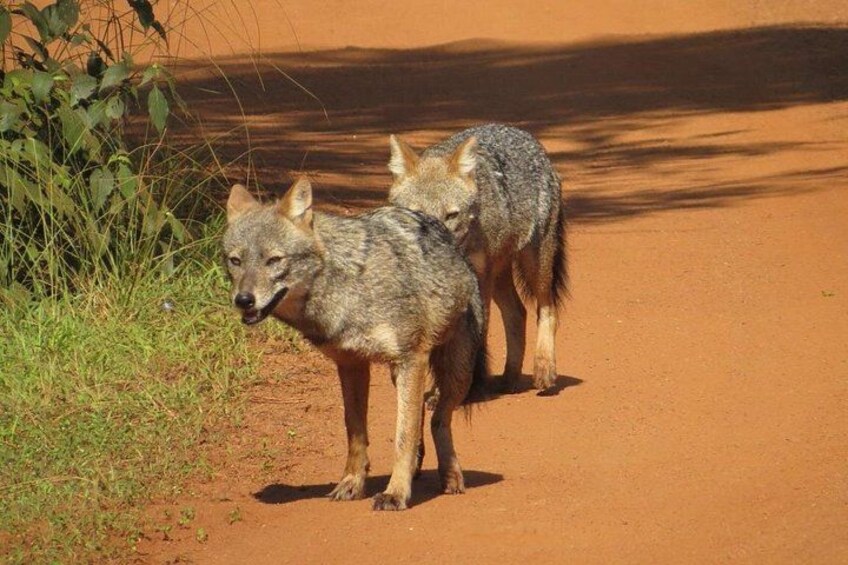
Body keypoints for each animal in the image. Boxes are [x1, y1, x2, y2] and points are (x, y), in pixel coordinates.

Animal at [223, 177, 487, 511]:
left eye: (274, 260)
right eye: (235, 261)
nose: (243, 300)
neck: (349, 284)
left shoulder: (410, 359)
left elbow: (403, 435)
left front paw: (395, 493)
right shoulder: (351, 364)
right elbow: (355, 431)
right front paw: (351, 483)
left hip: (456, 375)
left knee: (437, 420)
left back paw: (450, 476)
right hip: (400, 375)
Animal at [387, 124, 568, 392]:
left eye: (451, 215)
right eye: (416, 212)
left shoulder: (480, 280)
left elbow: (474, 338)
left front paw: (467, 386)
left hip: (533, 267)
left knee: (547, 310)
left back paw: (544, 369)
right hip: (501, 275)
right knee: (518, 313)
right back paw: (509, 378)